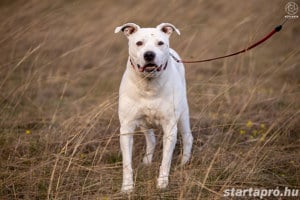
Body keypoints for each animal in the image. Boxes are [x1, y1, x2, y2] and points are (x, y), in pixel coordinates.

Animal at [113, 22, 193, 192]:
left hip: (183, 115)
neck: (148, 85)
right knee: (151, 139)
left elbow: (166, 160)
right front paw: (127, 187)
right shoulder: (127, 128)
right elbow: (127, 163)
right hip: (144, 122)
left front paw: (162, 183)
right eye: (139, 43)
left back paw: (184, 163)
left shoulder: (170, 128)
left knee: (188, 137)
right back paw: (147, 160)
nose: (149, 55)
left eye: (160, 43)